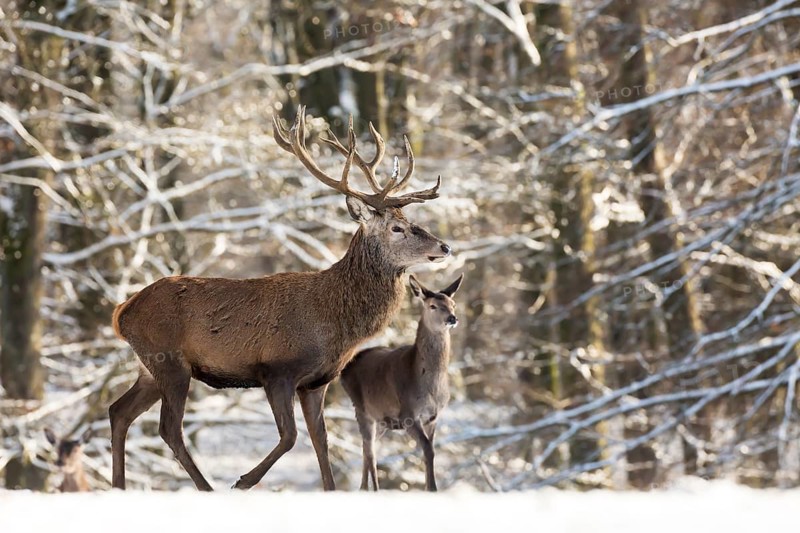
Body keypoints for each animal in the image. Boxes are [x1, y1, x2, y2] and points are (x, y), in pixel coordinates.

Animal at [108, 106, 451, 491]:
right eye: (397, 227)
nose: (444, 247)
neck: (335, 321)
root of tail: (122, 312)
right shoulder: (277, 369)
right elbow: (290, 437)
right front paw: (244, 481)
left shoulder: (316, 382)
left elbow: (321, 441)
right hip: (169, 361)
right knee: (168, 428)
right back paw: (207, 487)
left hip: (149, 368)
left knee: (119, 412)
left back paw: (118, 485)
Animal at [341, 273, 463, 492]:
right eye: (432, 305)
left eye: (453, 304)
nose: (452, 318)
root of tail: (344, 369)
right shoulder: (408, 414)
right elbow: (428, 450)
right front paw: (432, 489)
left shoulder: (433, 417)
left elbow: (430, 449)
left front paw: (429, 486)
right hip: (361, 408)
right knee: (370, 452)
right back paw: (372, 489)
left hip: (381, 420)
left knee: (365, 450)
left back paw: (364, 488)